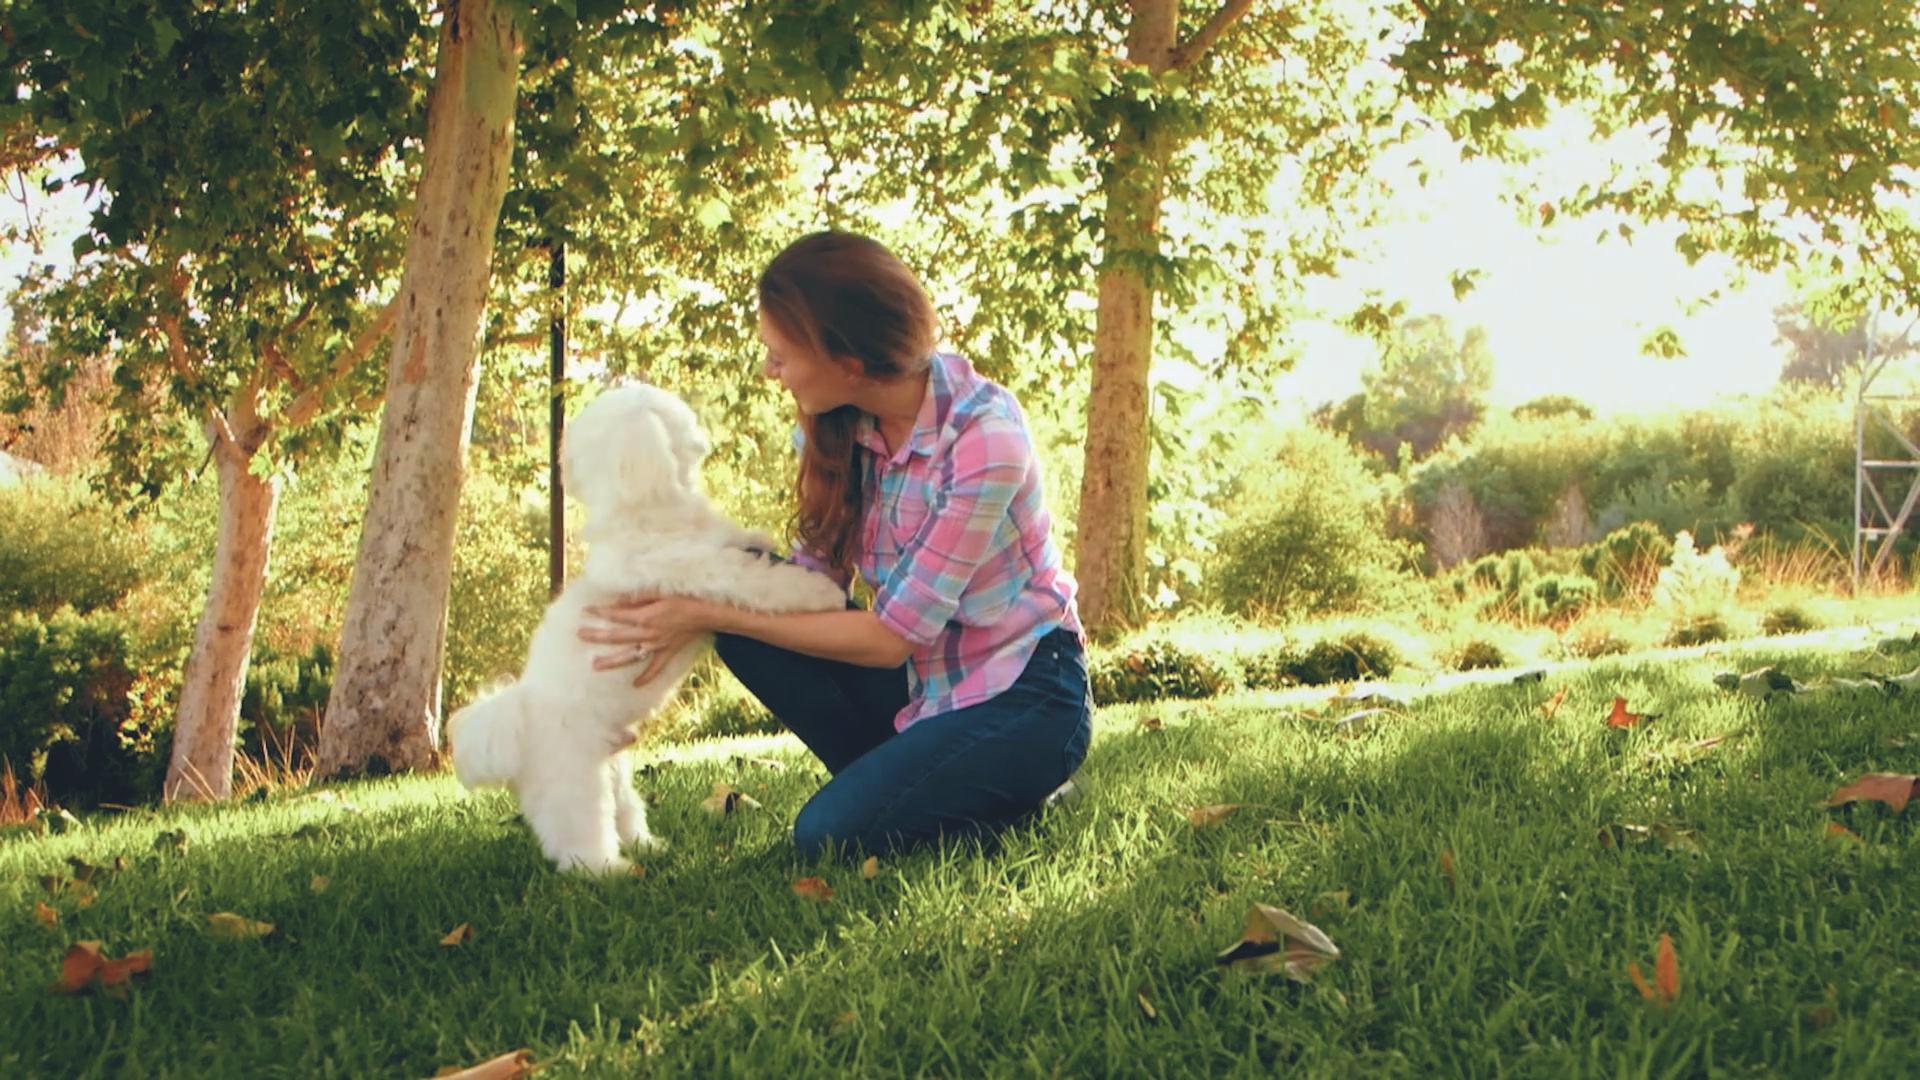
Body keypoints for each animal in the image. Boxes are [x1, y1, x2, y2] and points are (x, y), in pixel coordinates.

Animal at [449, 382, 848, 868]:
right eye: (676, 416)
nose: (702, 437)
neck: (645, 513)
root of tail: (516, 721)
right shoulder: (697, 572)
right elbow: (755, 580)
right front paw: (821, 592)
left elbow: (732, 539)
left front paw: (754, 536)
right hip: (573, 778)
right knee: (576, 831)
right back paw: (606, 870)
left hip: (613, 766)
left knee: (625, 809)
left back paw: (646, 845)